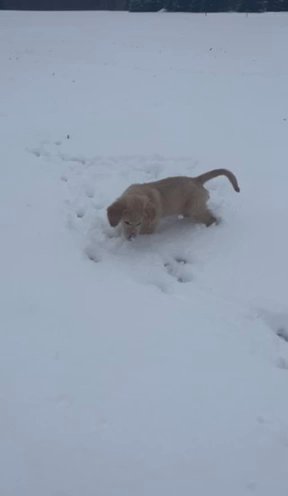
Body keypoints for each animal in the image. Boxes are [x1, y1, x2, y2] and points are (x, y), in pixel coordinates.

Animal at [107, 169, 240, 240]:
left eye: (139, 223)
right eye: (126, 222)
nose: (131, 238)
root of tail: (196, 179)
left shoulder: (151, 224)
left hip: (196, 209)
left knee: (211, 218)